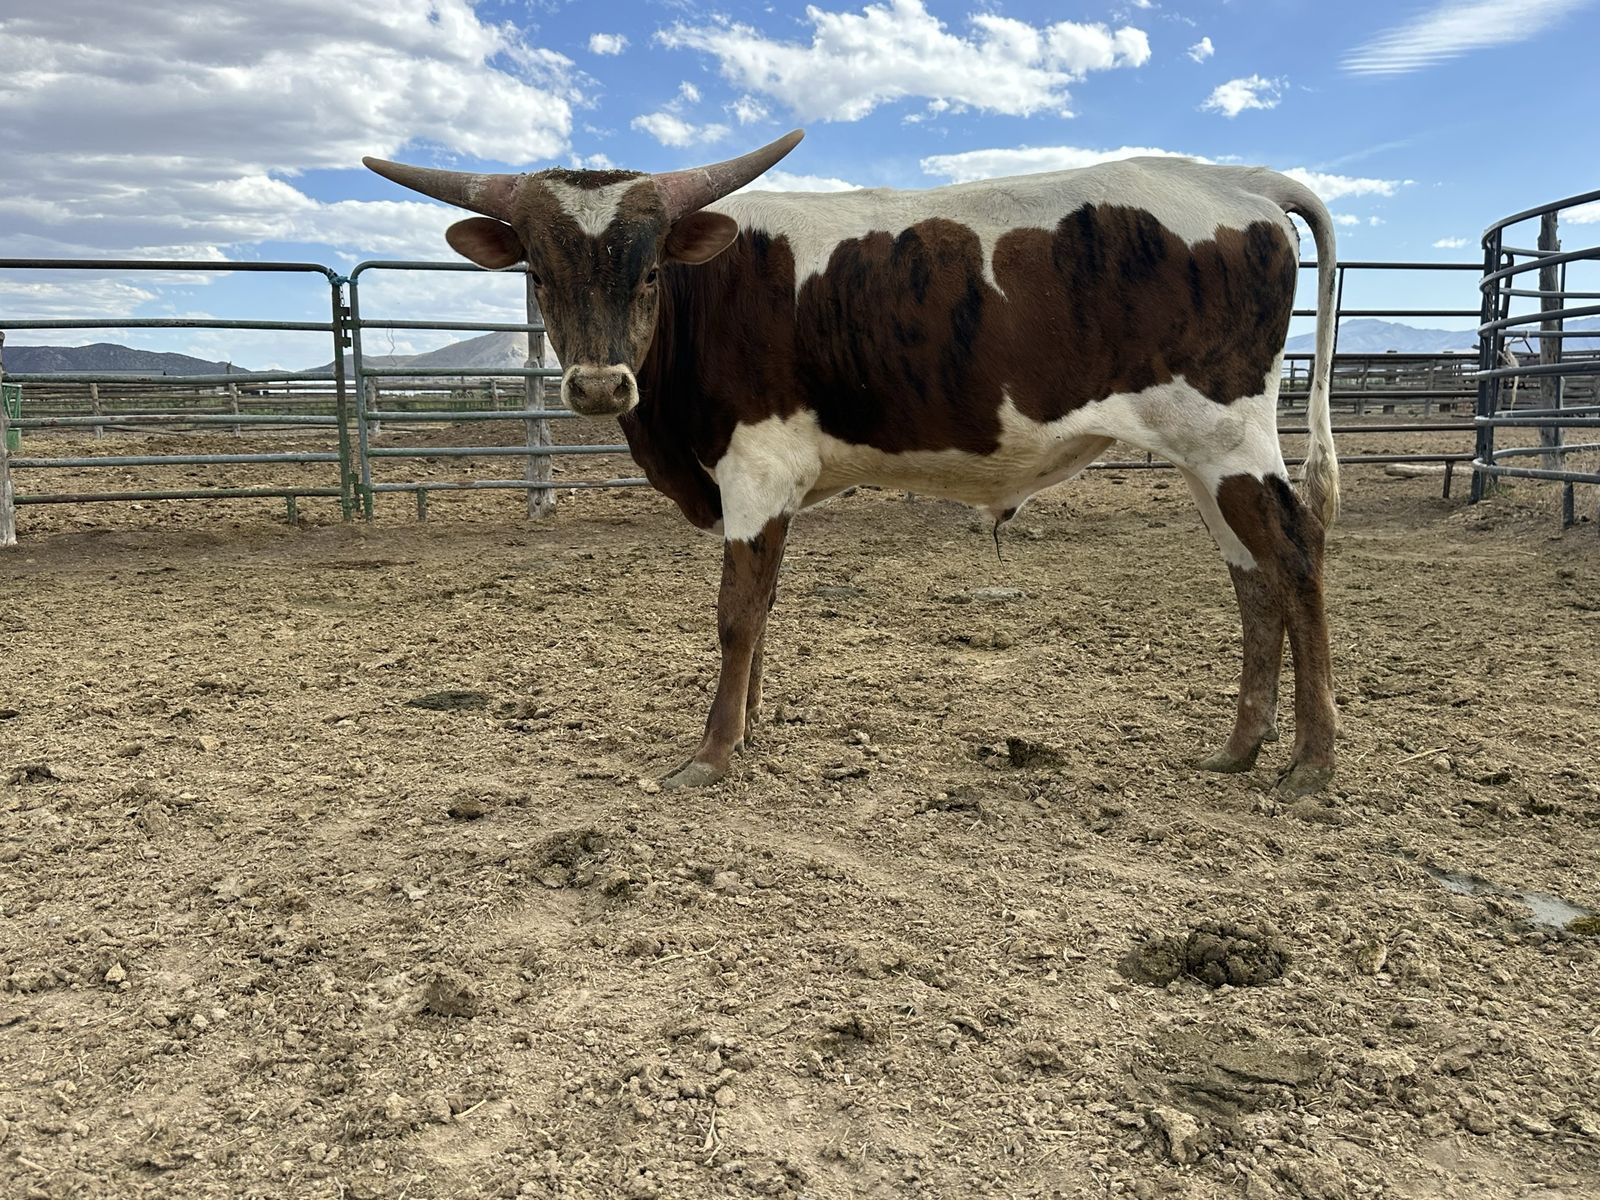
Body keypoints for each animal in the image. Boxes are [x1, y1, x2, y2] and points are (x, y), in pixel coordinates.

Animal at [365, 130, 1341, 796]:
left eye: (647, 274)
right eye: (538, 275)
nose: (600, 386)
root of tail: (1242, 180)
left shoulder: (755, 469)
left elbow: (736, 615)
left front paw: (711, 753)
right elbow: (761, 611)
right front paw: (747, 729)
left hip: (1228, 439)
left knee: (1294, 560)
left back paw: (1311, 762)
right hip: (1201, 455)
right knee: (1251, 579)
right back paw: (1238, 748)